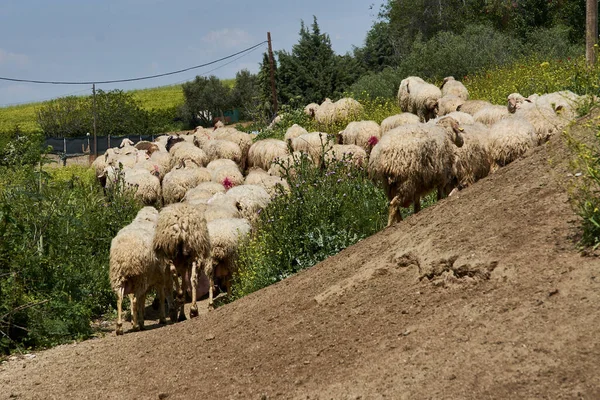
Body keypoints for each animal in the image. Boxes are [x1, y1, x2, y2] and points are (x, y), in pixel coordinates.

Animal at [108, 206, 168, 334]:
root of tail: (126, 254)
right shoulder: (160, 277)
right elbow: (160, 297)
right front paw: (162, 318)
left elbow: (140, 300)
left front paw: (138, 318)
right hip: (140, 278)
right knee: (136, 299)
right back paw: (136, 325)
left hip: (120, 277)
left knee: (120, 299)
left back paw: (120, 327)